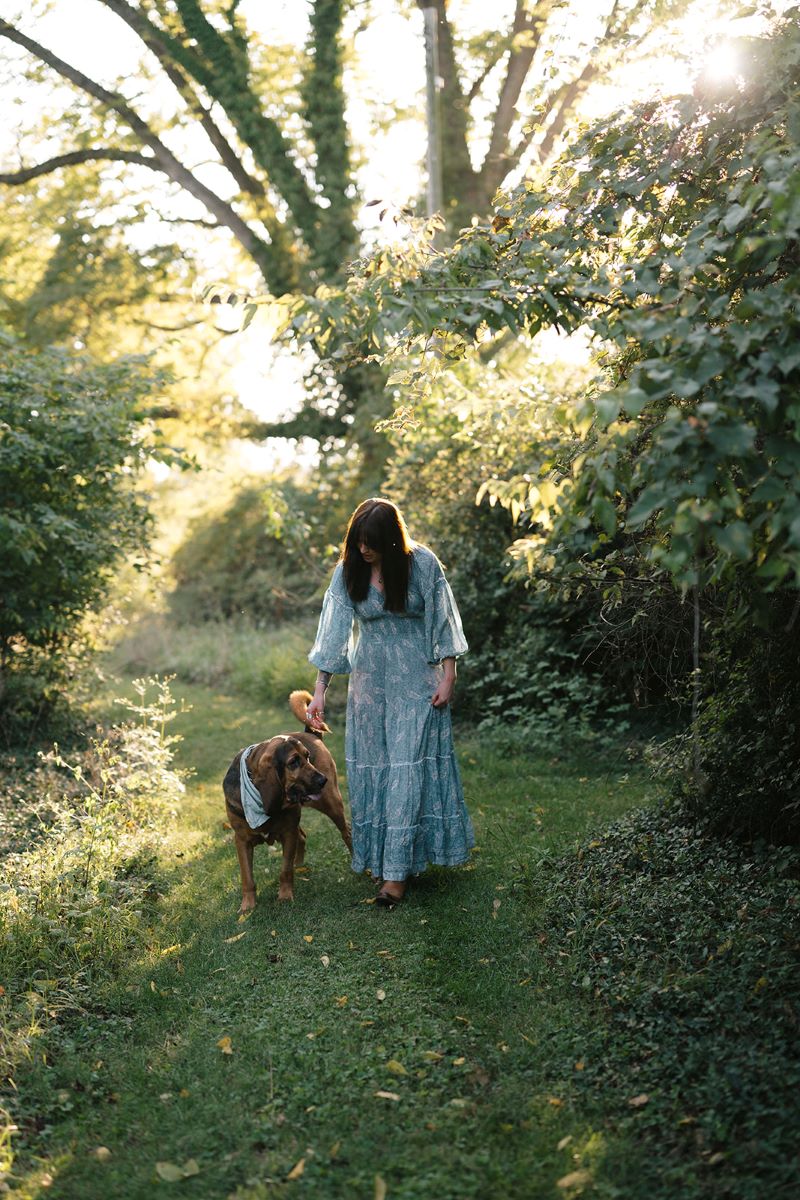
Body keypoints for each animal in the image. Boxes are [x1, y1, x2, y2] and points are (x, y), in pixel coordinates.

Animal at [224, 686, 352, 907]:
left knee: (347, 832)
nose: (323, 780)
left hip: (332, 805)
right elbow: (247, 878)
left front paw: (284, 896)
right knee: (302, 838)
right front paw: (248, 906)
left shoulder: (287, 832)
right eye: (293, 762)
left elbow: (285, 870)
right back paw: (300, 866)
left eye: (308, 757)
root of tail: (311, 732)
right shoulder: (241, 840)